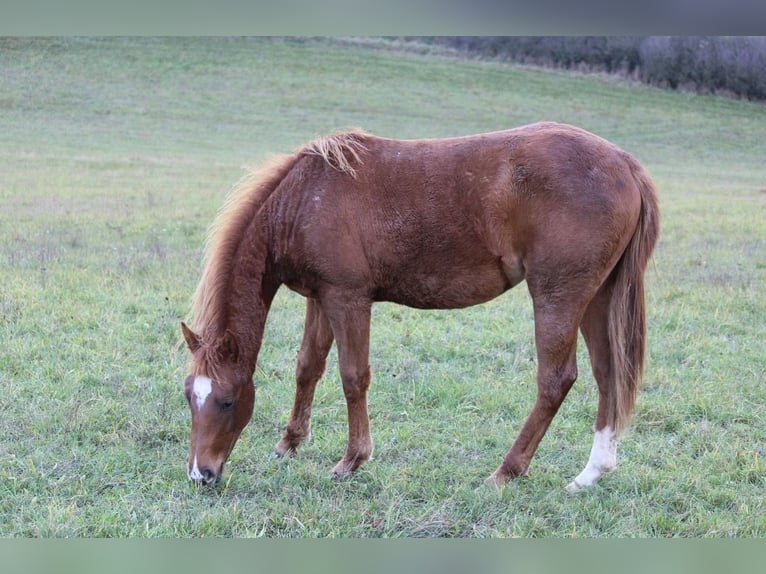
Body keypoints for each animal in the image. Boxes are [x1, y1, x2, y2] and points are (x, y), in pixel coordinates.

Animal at [181, 122, 659, 493]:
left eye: (226, 401)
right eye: (189, 396)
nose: (201, 474)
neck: (304, 197)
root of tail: (624, 163)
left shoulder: (347, 298)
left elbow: (353, 377)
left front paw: (352, 460)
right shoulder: (322, 298)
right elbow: (308, 367)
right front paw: (289, 444)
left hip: (558, 296)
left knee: (556, 380)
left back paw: (506, 472)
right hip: (597, 297)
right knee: (608, 375)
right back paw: (590, 474)